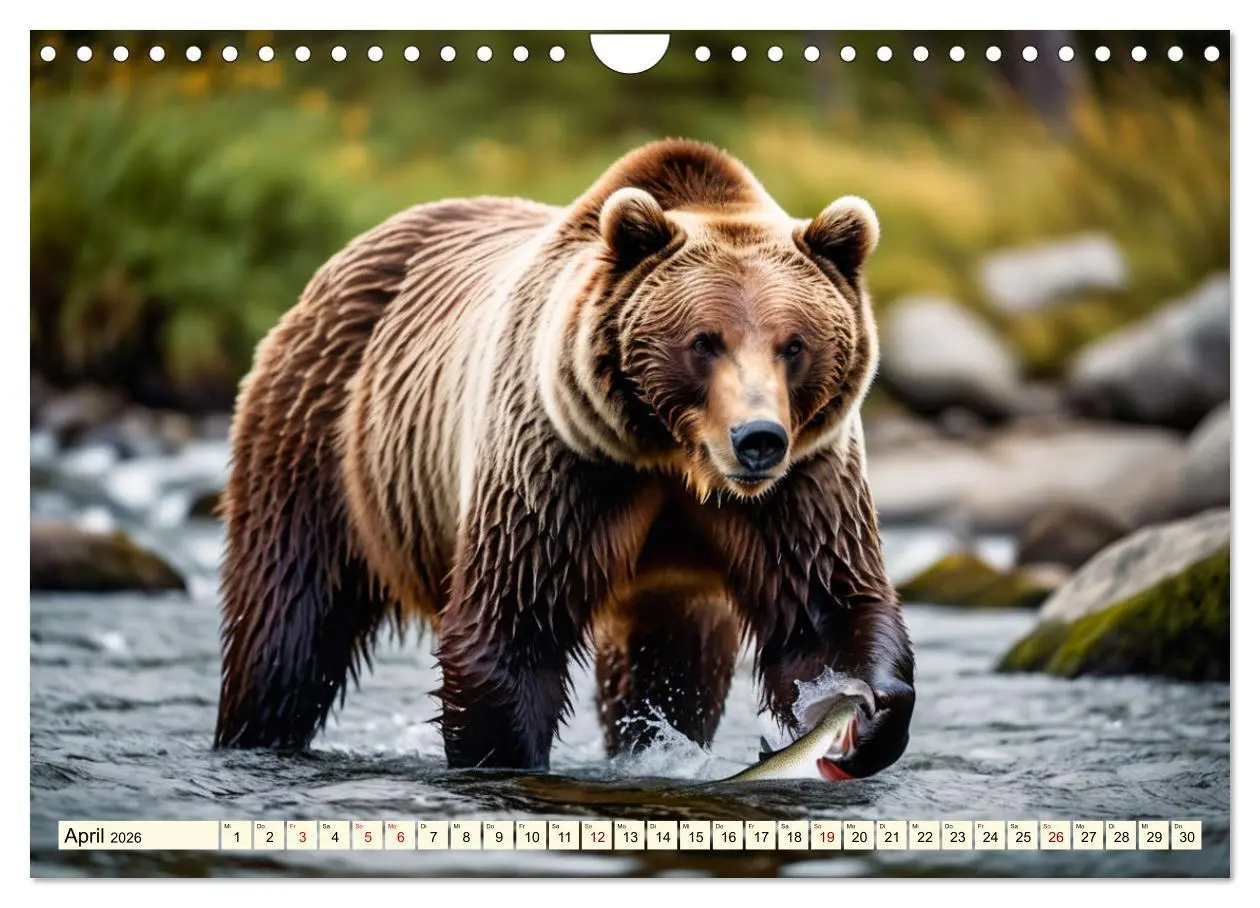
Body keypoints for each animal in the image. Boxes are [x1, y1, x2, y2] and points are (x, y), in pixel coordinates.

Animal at [214, 138, 915, 779]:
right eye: (703, 341)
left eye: (793, 344)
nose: (758, 437)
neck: (673, 456)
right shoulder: (561, 463)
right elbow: (512, 625)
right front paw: (505, 757)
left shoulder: (801, 484)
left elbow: (824, 606)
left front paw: (866, 715)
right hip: (324, 438)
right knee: (288, 622)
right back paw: (256, 732)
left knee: (672, 665)